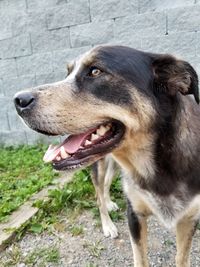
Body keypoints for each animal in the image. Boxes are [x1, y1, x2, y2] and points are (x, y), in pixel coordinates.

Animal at [14, 45, 200, 266]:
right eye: (68, 73)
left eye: (95, 71)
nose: (18, 100)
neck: (156, 165)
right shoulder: (134, 215)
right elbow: (140, 258)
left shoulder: (189, 219)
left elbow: (182, 257)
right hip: (100, 165)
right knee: (98, 192)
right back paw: (108, 223)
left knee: (105, 187)